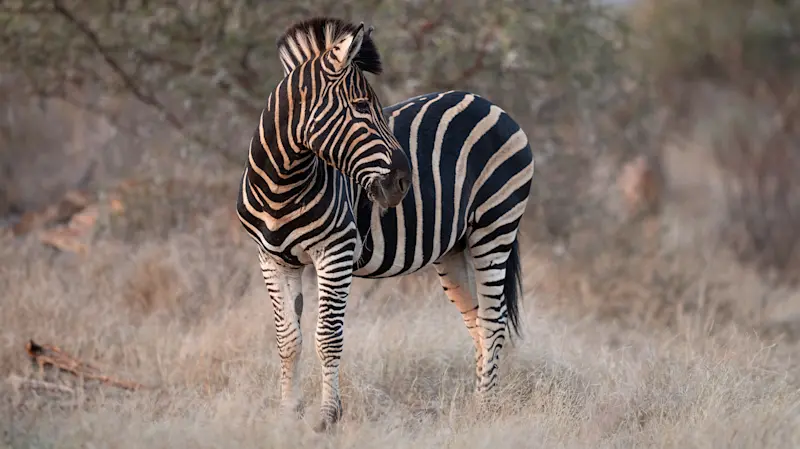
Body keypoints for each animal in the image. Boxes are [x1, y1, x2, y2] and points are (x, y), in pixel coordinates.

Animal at [236, 16, 535, 431]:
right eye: (361, 106)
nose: (404, 183)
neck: (282, 183)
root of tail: (489, 104)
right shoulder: (273, 259)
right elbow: (288, 338)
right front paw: (287, 413)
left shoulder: (336, 250)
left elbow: (327, 336)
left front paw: (327, 417)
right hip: (454, 250)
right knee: (477, 322)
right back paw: (478, 404)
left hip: (495, 227)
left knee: (493, 321)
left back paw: (485, 411)